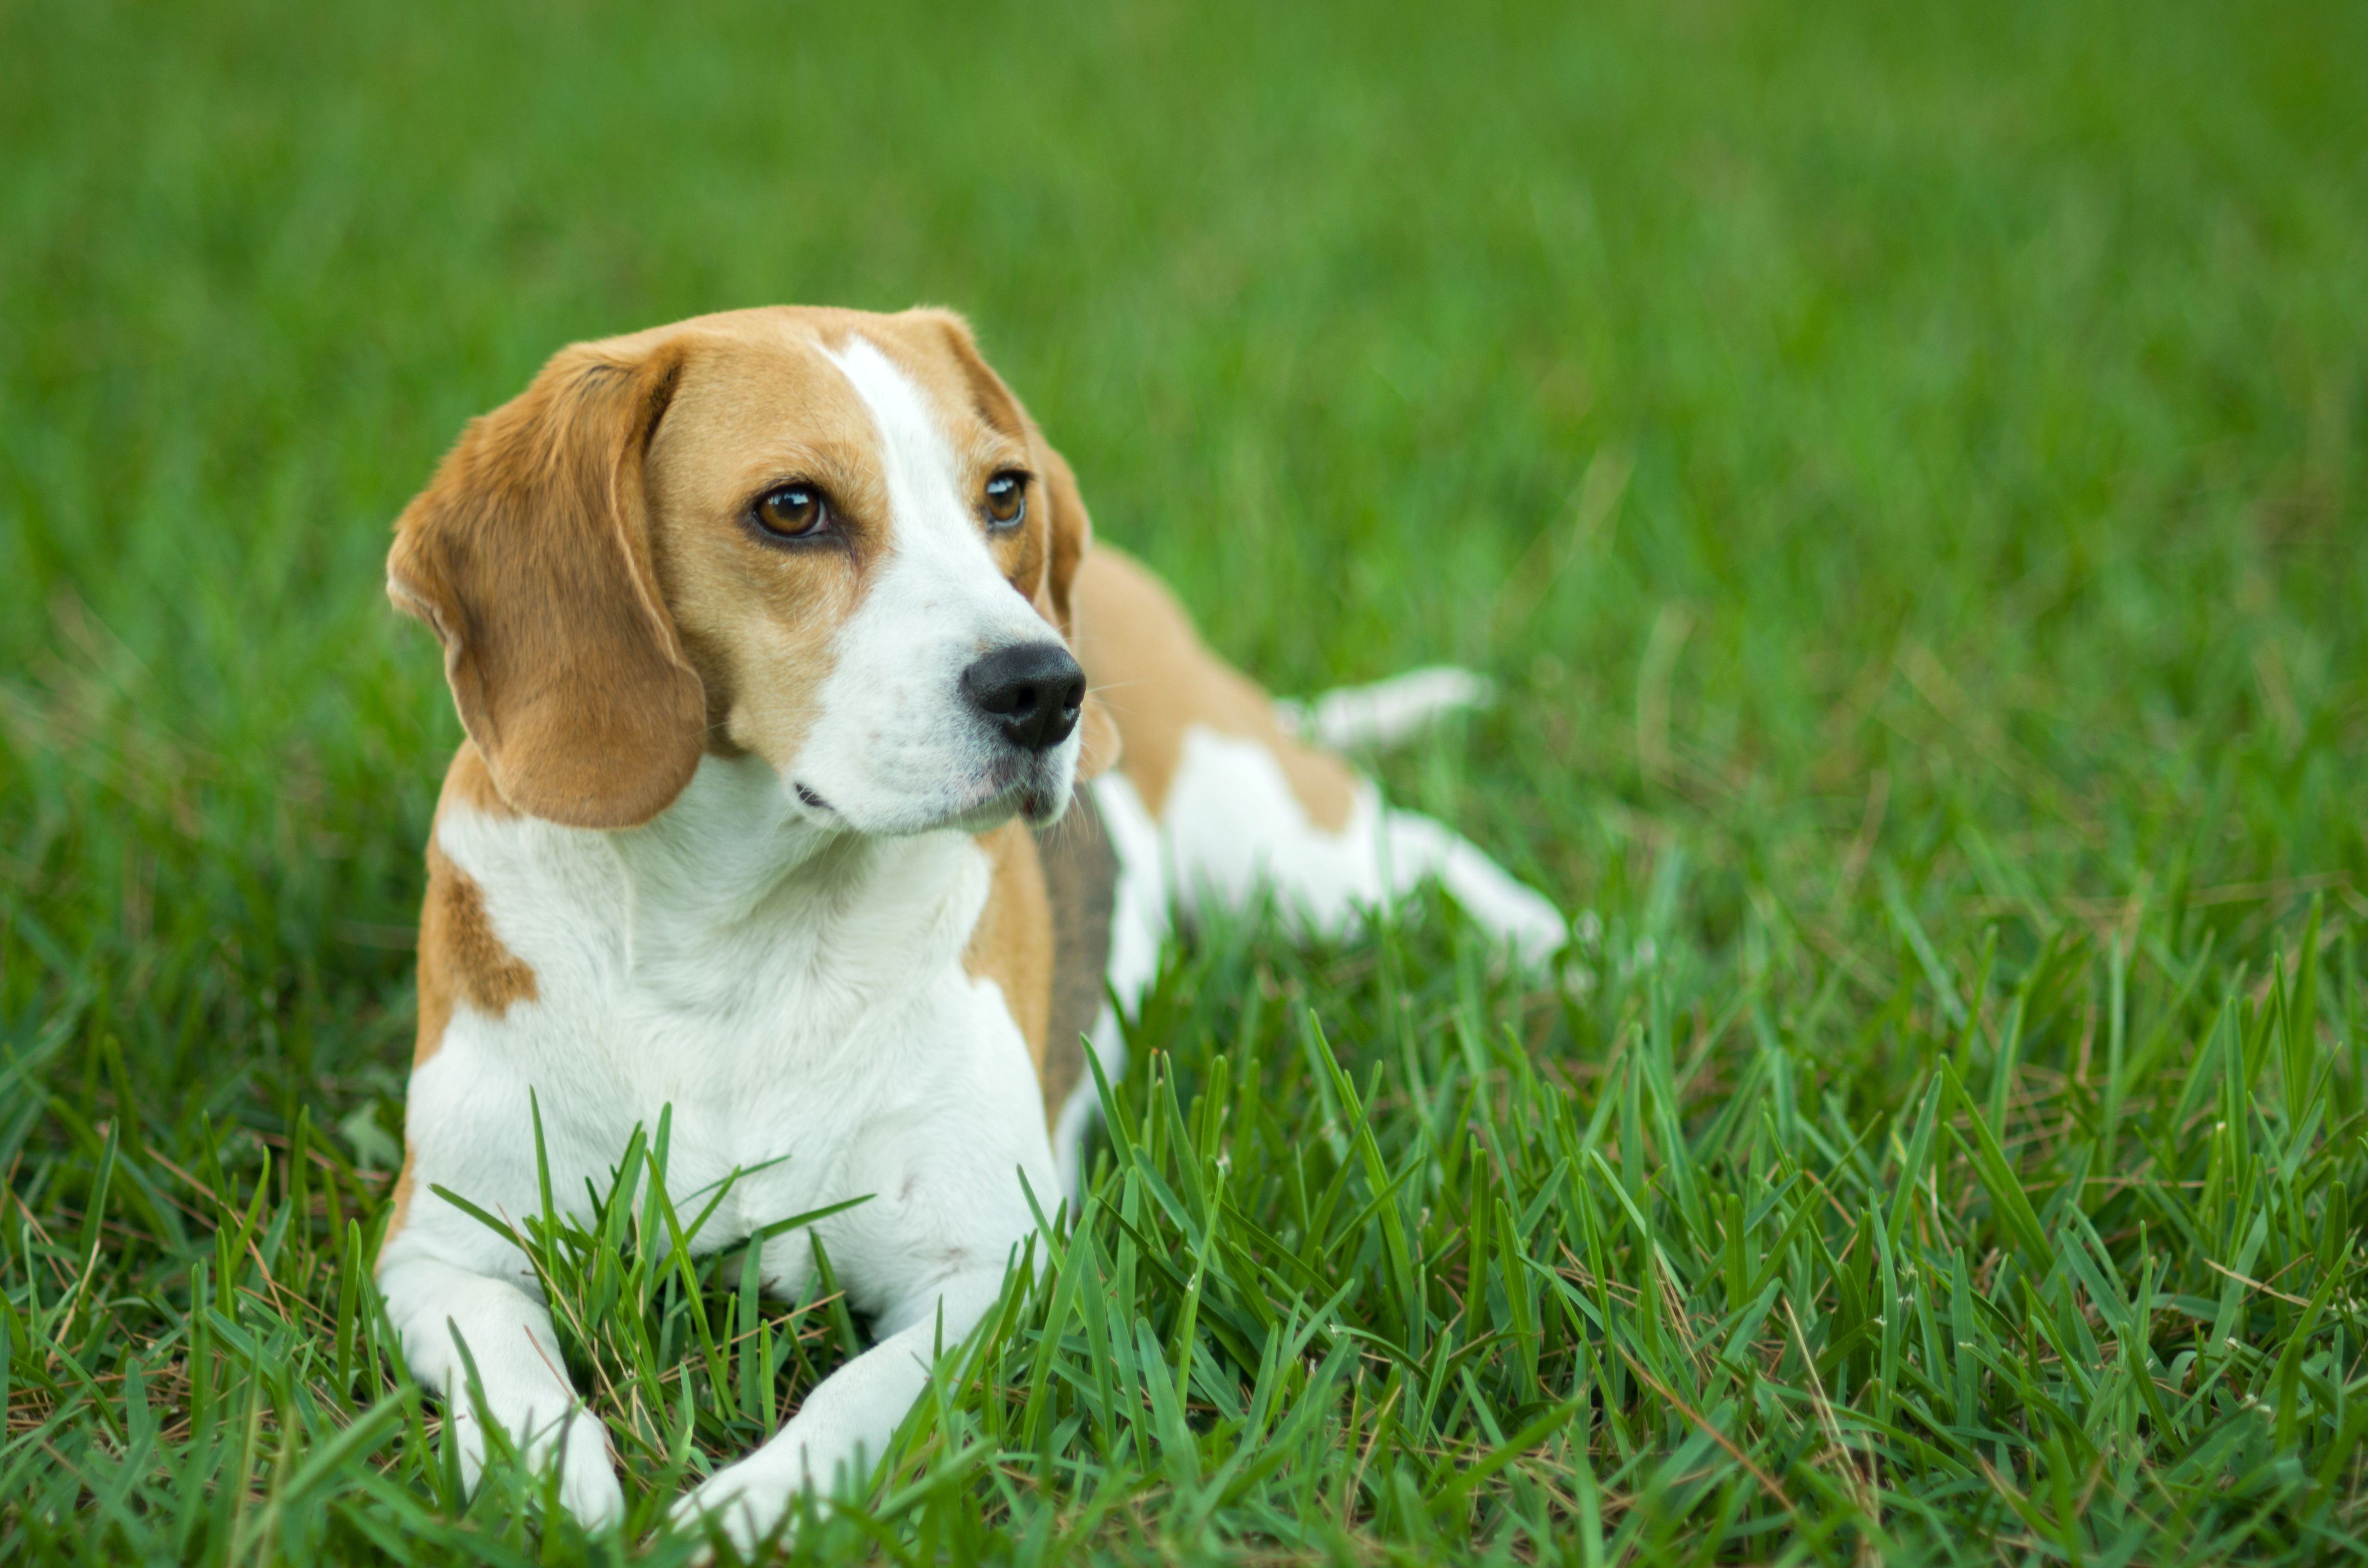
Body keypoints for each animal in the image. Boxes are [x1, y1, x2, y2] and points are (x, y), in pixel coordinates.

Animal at [374, 303, 1572, 1544]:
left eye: (1003, 493)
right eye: (791, 509)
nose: (1050, 687)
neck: (731, 943)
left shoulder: (988, 1268)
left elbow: (852, 1401)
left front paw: (743, 1514)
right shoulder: (443, 1253)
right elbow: (510, 1385)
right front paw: (555, 1500)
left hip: (1287, 852)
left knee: (1419, 856)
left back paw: (1557, 951)